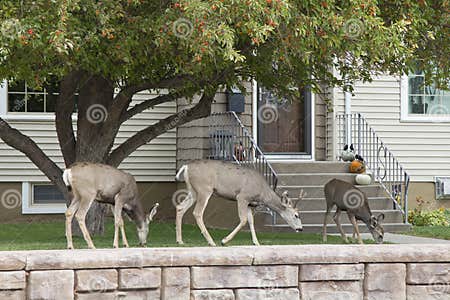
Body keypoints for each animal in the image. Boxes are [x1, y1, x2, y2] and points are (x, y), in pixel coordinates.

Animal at [174, 159, 304, 246]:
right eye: (296, 215)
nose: (301, 229)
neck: (262, 192)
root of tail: (186, 167)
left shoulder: (250, 203)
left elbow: (251, 221)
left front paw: (256, 242)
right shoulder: (242, 197)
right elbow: (243, 220)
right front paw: (224, 240)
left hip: (193, 191)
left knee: (180, 207)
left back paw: (180, 240)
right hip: (204, 189)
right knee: (197, 213)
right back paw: (211, 242)